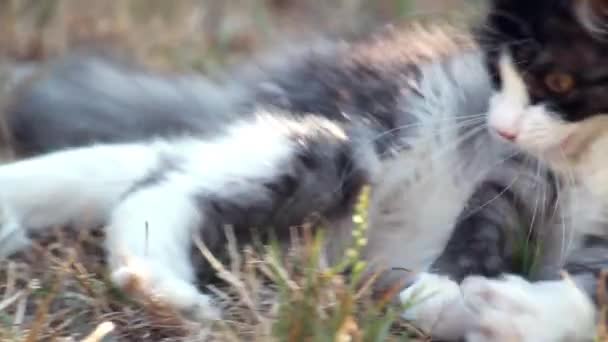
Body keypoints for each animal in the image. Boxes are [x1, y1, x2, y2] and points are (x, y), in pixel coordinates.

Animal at [1, 1, 608, 340]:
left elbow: (587, 294)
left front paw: (513, 315)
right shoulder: (521, 171)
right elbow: (485, 229)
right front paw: (458, 294)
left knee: (162, 163)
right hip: (366, 136)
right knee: (160, 182)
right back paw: (162, 288)